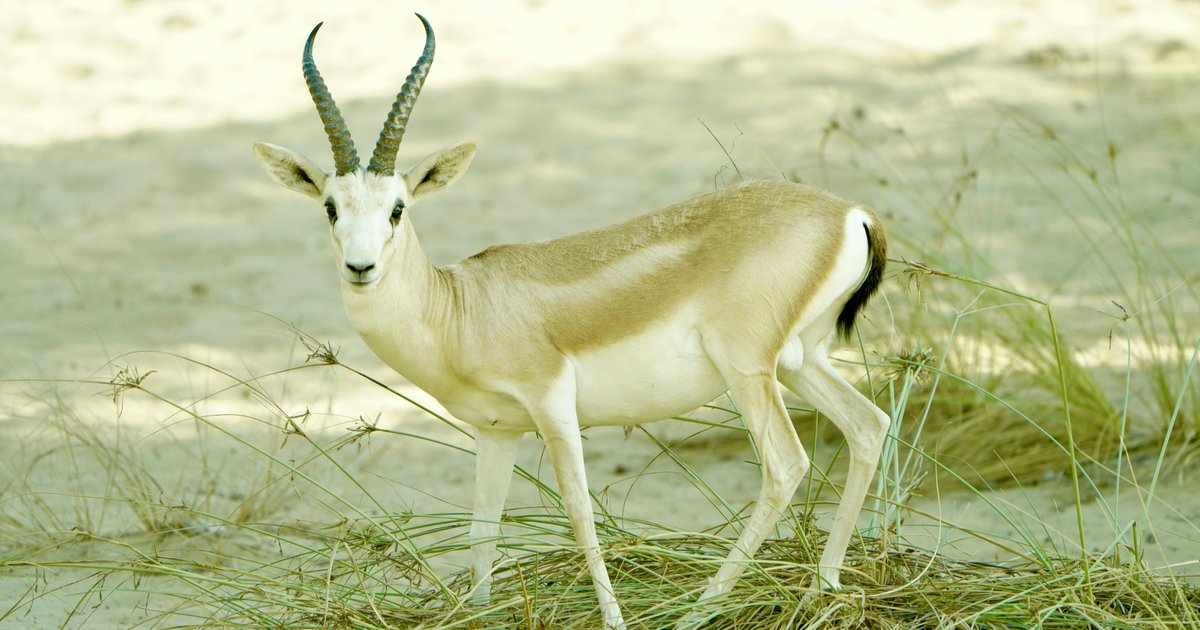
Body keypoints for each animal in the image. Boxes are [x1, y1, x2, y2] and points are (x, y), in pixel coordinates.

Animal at [253, 14, 890, 629]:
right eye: (330, 207)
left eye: (397, 208)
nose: (361, 267)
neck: (461, 308)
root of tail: (851, 213)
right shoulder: (496, 430)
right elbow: (483, 526)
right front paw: (479, 613)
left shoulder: (552, 404)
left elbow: (579, 512)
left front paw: (615, 621)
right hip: (800, 361)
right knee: (868, 426)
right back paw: (824, 589)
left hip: (749, 368)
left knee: (785, 465)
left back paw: (699, 611)